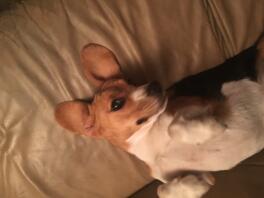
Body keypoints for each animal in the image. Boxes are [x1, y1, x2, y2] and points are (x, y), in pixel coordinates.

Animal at [55, 39, 264, 197]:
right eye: (116, 104)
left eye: (132, 81)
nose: (154, 84)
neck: (151, 139)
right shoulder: (200, 175)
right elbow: (162, 190)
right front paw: (194, 185)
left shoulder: (204, 104)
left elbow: (174, 127)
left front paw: (210, 129)